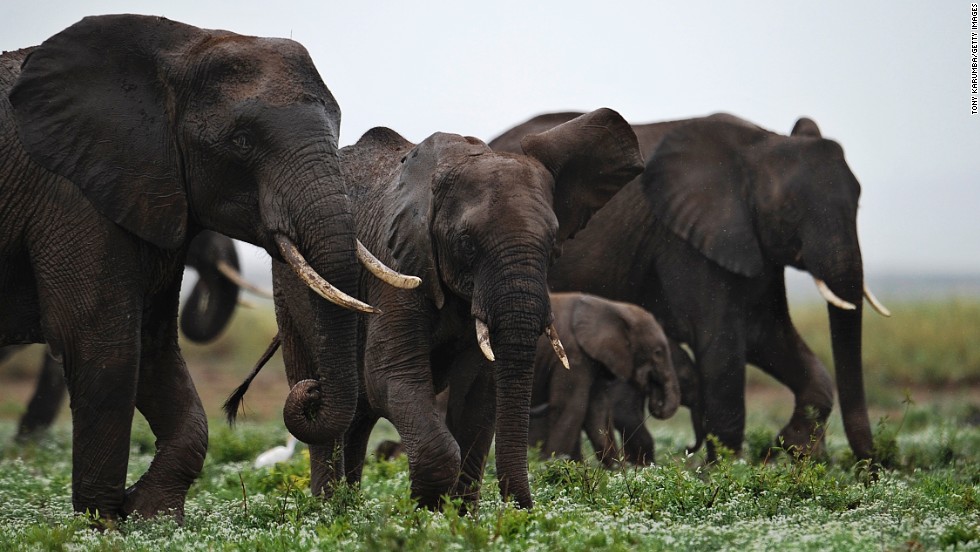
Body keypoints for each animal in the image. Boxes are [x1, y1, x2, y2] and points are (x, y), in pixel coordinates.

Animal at [0, 14, 406, 520]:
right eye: (242, 141)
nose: (311, 390)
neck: (179, 47)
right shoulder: (72, 194)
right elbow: (102, 342)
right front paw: (103, 524)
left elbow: (152, 343)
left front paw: (149, 515)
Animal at [227, 108, 648, 508]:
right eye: (467, 244)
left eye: (553, 247)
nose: (523, 509)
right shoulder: (396, 261)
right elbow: (390, 375)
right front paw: (424, 513)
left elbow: (479, 396)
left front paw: (458, 520)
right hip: (288, 286)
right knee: (323, 392)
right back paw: (328, 508)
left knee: (357, 413)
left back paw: (349, 507)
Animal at [528, 294, 696, 466]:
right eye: (657, 353)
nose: (653, 391)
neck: (613, 307)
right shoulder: (574, 355)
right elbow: (572, 407)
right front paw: (554, 464)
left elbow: (597, 412)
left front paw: (618, 469)